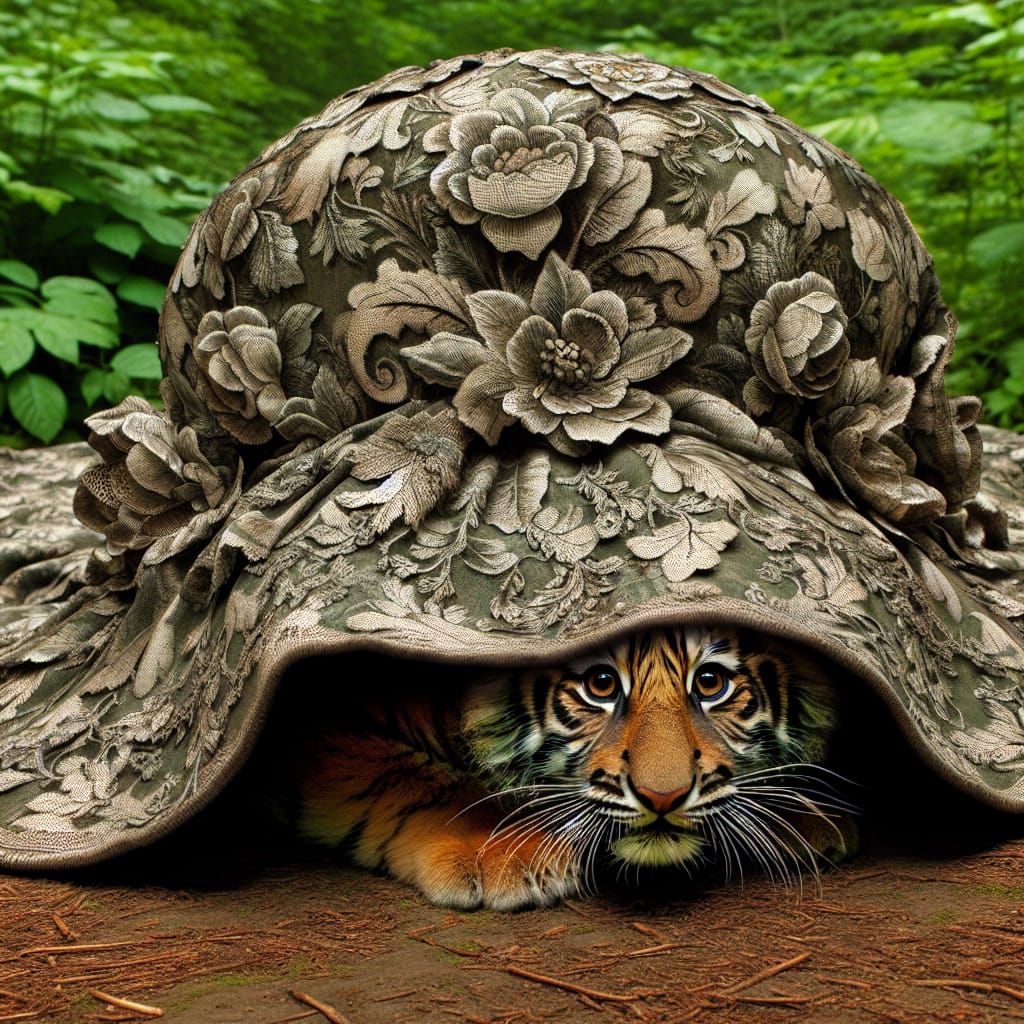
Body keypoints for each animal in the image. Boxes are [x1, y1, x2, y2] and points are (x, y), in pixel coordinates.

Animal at [294, 625, 856, 909]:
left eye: (711, 682)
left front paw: (805, 816)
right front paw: (499, 851)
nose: (663, 797)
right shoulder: (325, 730)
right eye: (601, 685)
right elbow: (416, 778)